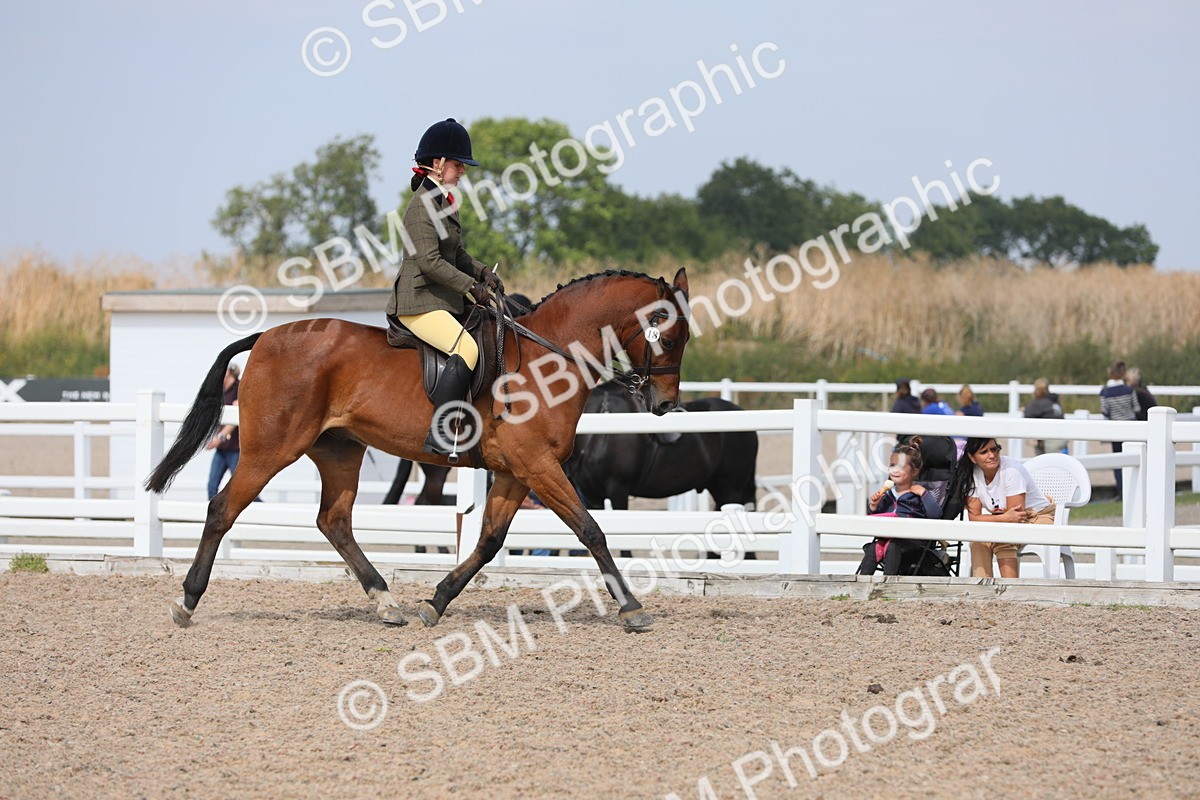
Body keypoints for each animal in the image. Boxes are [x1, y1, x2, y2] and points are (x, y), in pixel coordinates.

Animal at [145, 269, 691, 631]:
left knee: (334, 521)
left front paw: (437, 601)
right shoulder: (537, 466)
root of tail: (265, 337)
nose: (665, 405)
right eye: (668, 336)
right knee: (222, 508)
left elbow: (488, 542)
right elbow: (591, 529)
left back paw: (387, 603)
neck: (546, 358)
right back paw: (187, 602)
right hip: (270, 449)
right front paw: (632, 608)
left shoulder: (517, 471)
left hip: (339, 452)